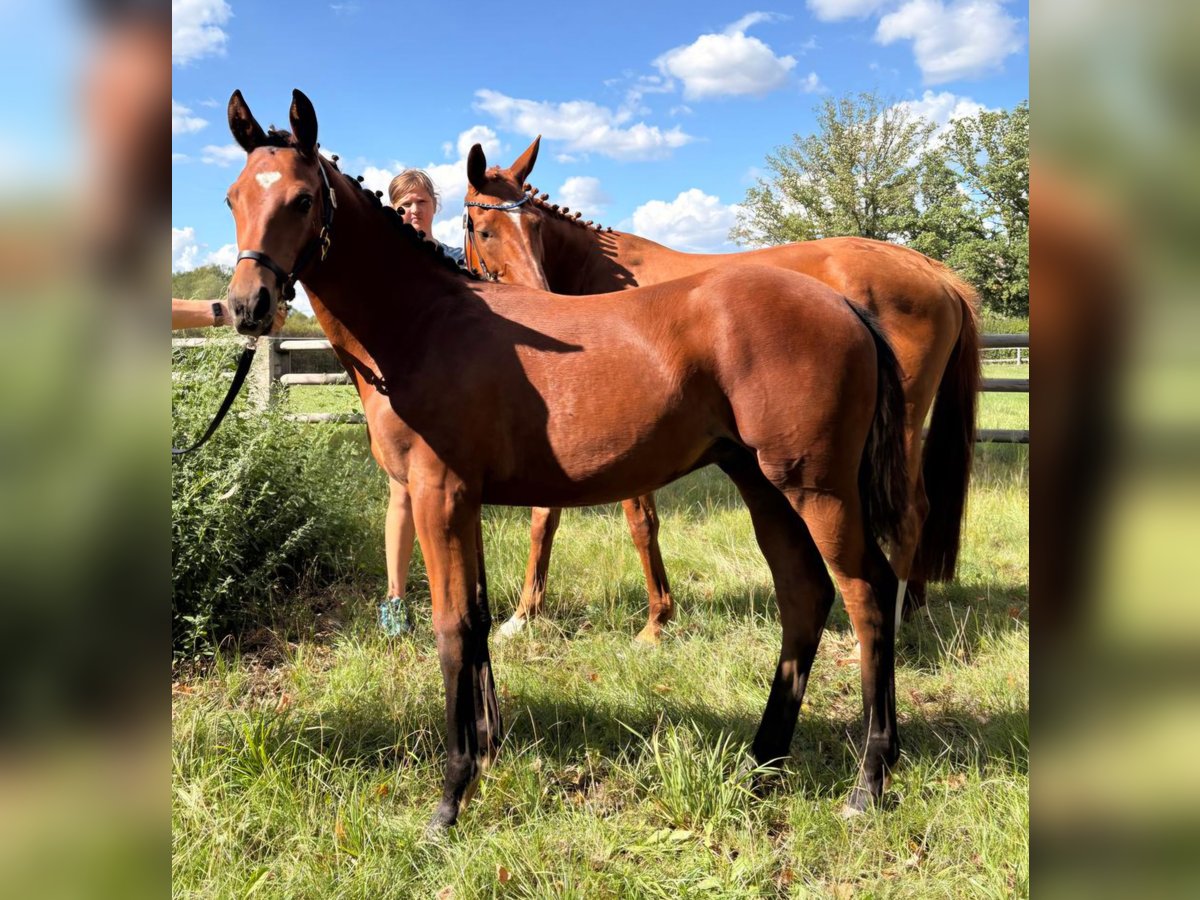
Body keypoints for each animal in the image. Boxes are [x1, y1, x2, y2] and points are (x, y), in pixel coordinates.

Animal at [223, 89, 909, 830]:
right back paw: (762, 763)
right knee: (805, 595)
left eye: (300, 200)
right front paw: (486, 754)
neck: (426, 323)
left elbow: (451, 629)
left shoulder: (439, 495)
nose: (247, 304)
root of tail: (844, 304)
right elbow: (478, 620)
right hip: (763, 485)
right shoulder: (464, 502)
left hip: (818, 490)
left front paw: (450, 797)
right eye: (234, 196)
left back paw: (868, 782)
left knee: (867, 593)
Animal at [461, 138, 982, 645]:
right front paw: (524, 615)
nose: (537, 295)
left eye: (533, 226)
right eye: (485, 229)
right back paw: (910, 606)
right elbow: (545, 516)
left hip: (901, 424)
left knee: (909, 512)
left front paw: (656, 621)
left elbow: (637, 522)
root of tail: (935, 273)